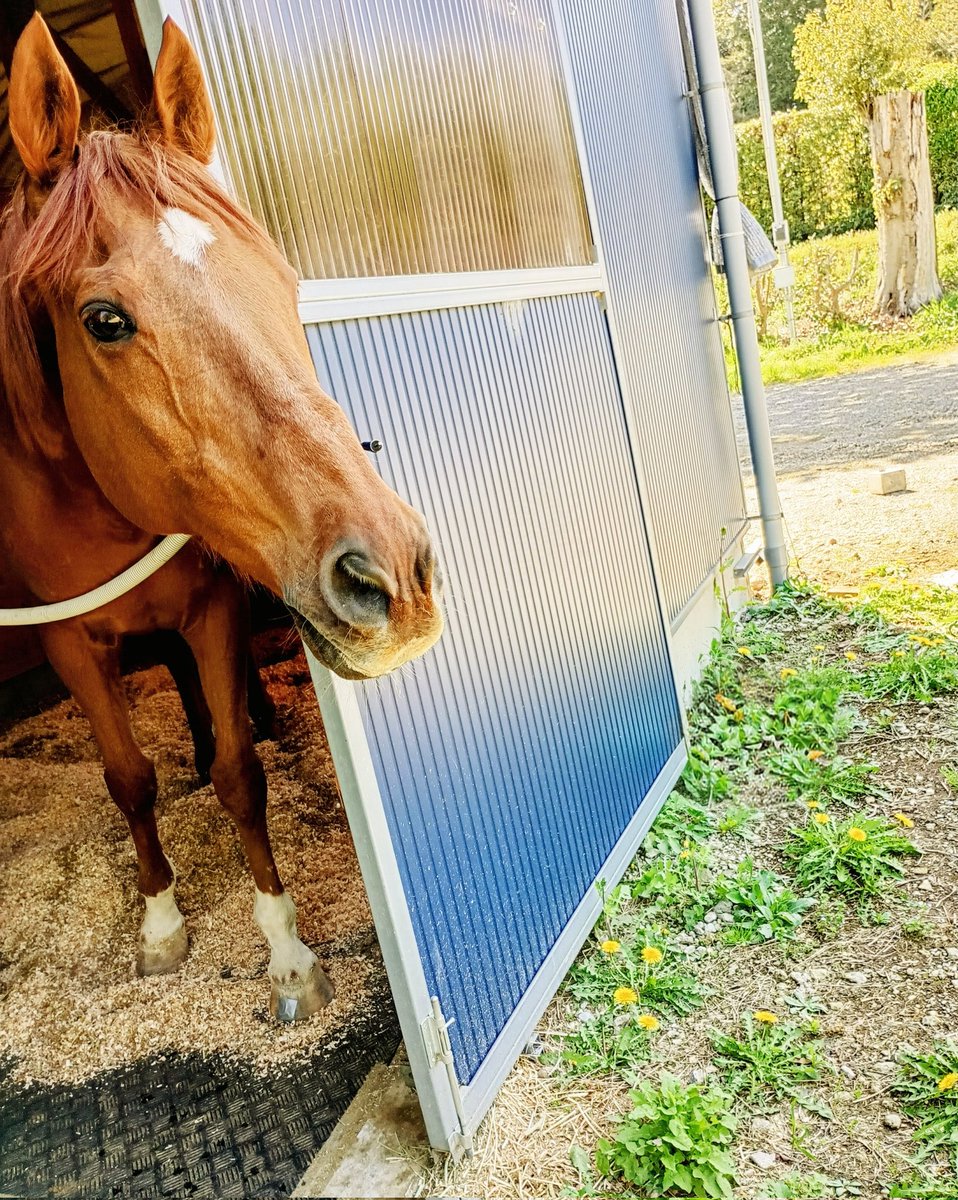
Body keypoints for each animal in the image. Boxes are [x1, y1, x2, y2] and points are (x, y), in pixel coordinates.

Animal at [0, 14, 443, 1020]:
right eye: (105, 319)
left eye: (281, 276)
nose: (392, 577)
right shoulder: (69, 644)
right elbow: (129, 780)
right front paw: (161, 923)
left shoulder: (210, 608)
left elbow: (242, 775)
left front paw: (286, 950)